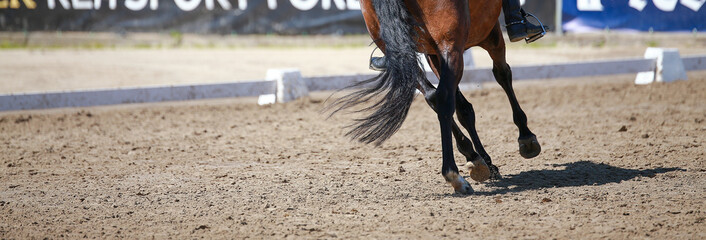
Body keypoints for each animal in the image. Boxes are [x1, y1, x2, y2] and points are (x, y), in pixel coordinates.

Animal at [330, 0, 540, 194]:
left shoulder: (433, 53)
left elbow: (463, 108)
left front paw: (483, 162)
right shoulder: (489, 33)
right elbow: (502, 74)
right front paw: (526, 137)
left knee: (435, 97)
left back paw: (470, 160)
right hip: (453, 43)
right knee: (444, 97)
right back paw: (454, 176)